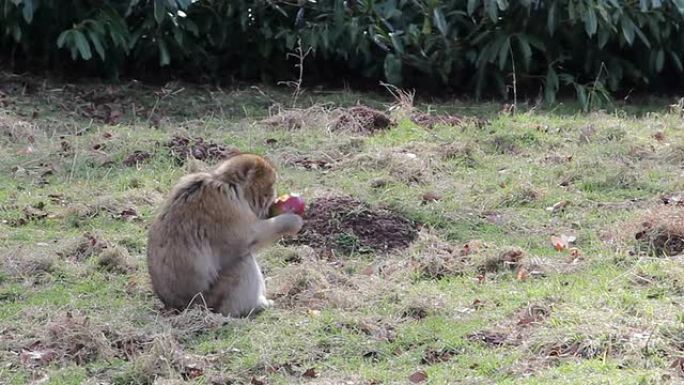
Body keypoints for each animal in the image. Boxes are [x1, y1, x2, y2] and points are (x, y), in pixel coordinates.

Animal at [146, 152, 302, 316]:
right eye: (270, 186)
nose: (274, 195)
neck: (227, 182)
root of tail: (176, 306)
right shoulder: (227, 207)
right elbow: (249, 238)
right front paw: (292, 221)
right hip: (211, 300)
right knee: (243, 262)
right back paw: (254, 306)